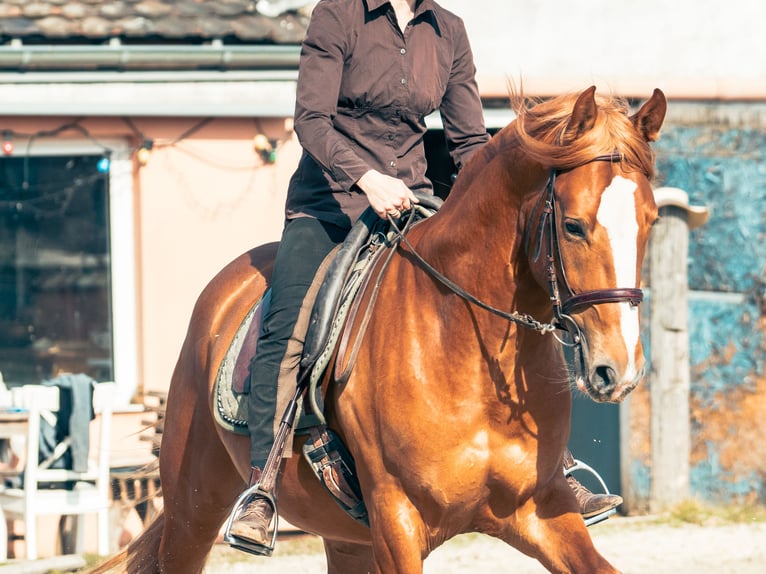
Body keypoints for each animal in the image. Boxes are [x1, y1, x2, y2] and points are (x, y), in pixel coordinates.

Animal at [94, 86, 666, 573]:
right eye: (573, 225)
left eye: (652, 221)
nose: (617, 370)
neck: (462, 349)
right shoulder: (397, 521)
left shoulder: (541, 511)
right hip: (194, 508)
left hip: (345, 538)